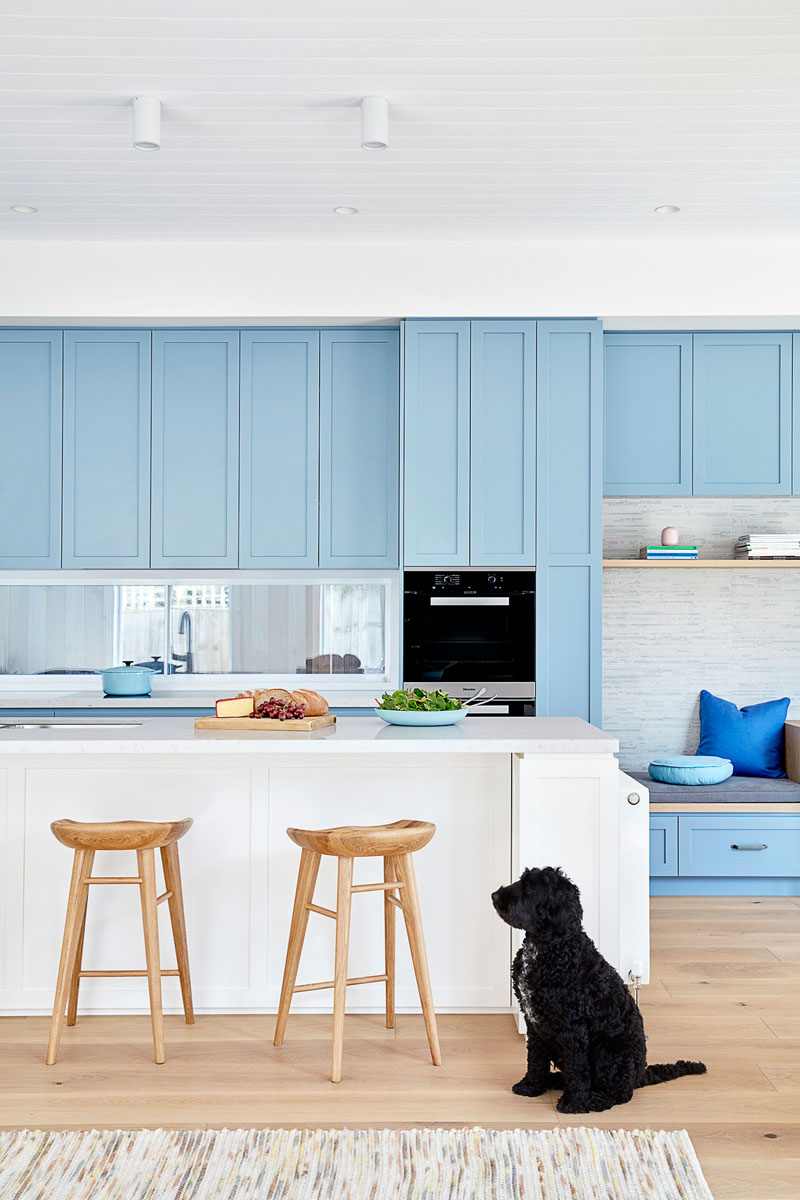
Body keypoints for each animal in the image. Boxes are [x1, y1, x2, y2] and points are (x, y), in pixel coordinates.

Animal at [489, 864, 705, 1113]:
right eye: (520, 880)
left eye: (530, 889)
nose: (494, 895)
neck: (552, 948)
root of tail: (640, 1073)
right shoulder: (533, 1024)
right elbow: (535, 1059)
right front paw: (531, 1086)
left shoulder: (573, 1028)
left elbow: (578, 1069)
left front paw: (573, 1102)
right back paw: (554, 1080)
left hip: (609, 1051)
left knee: (618, 1093)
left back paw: (592, 1099)